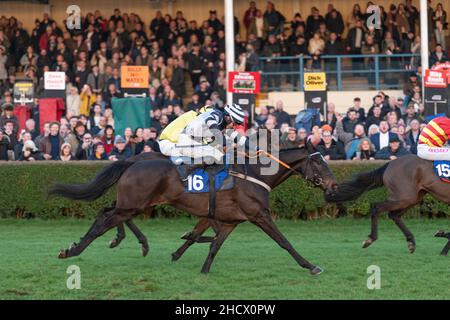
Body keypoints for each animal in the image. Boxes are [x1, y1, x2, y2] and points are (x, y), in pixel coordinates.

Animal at [49, 148, 338, 276]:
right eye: (320, 165)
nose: (334, 186)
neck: (255, 175)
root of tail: (132, 162)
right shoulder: (259, 216)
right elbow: (284, 242)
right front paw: (311, 265)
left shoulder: (229, 220)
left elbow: (214, 243)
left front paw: (202, 267)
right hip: (134, 202)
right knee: (105, 220)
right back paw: (72, 250)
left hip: (135, 202)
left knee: (105, 212)